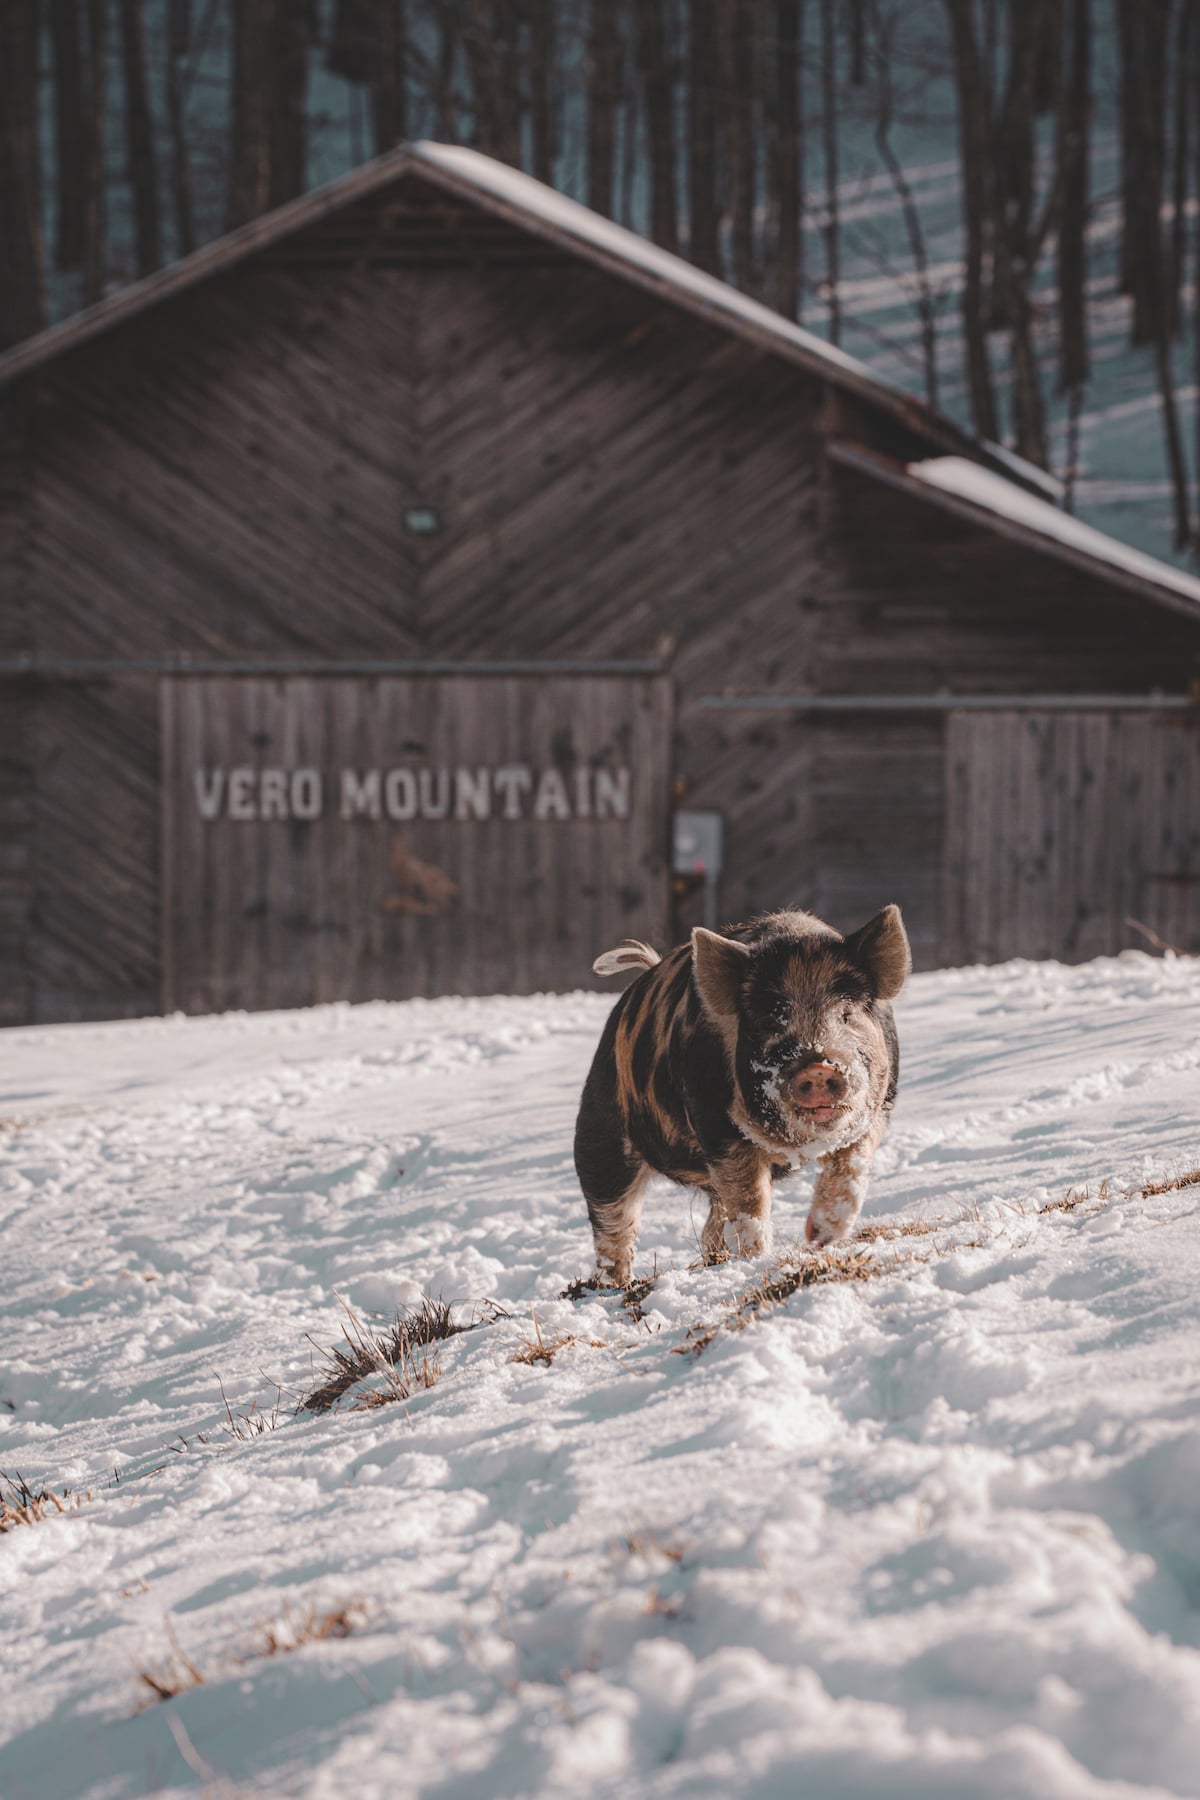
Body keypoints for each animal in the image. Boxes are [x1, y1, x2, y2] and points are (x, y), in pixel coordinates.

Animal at [575, 907, 910, 1288]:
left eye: (846, 1014)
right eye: (771, 1020)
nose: (818, 1067)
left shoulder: (876, 1113)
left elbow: (851, 1171)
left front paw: (821, 1238)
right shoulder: (719, 1129)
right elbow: (749, 1202)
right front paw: (755, 1258)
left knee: (713, 1218)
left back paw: (714, 1259)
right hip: (601, 1137)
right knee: (613, 1221)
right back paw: (612, 1286)